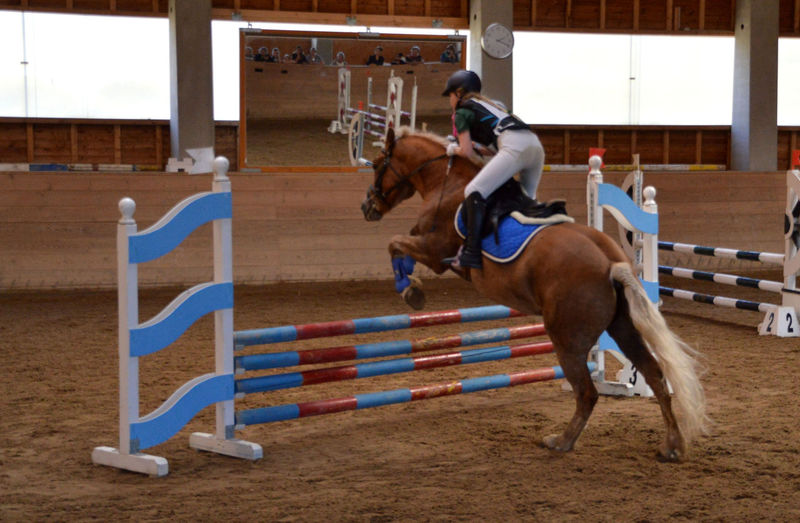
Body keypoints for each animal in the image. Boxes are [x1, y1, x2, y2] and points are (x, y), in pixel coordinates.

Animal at [360, 127, 708, 461]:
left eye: (377, 165)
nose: (367, 207)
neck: (446, 181)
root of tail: (612, 265)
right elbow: (399, 250)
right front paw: (409, 284)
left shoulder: (434, 252)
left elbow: (394, 244)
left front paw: (411, 291)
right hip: (622, 327)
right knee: (655, 375)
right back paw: (672, 445)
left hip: (567, 338)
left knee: (587, 392)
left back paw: (562, 441)